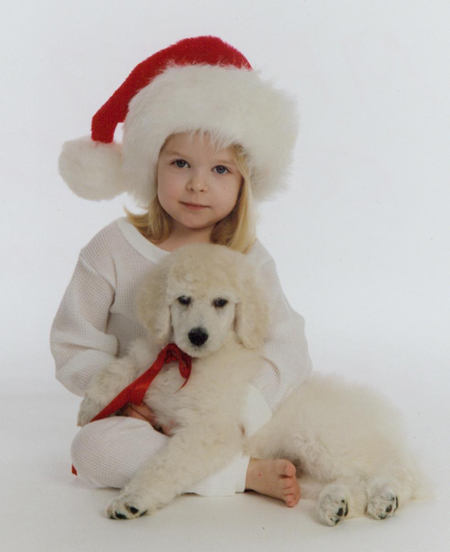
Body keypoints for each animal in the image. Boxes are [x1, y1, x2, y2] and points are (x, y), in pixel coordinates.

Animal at [77, 244, 426, 524]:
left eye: (221, 302)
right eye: (183, 299)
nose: (197, 336)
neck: (185, 361)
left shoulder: (210, 432)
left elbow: (165, 465)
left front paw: (132, 500)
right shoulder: (148, 358)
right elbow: (117, 370)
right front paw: (89, 408)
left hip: (327, 443)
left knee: (400, 473)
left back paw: (386, 497)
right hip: (310, 469)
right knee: (354, 482)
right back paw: (336, 504)